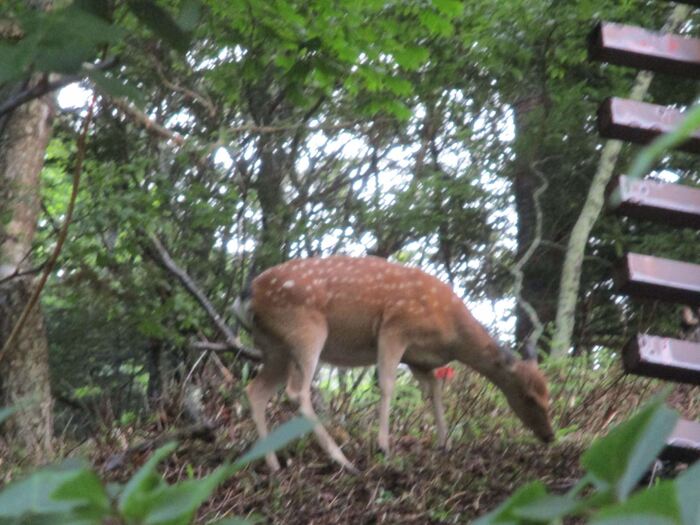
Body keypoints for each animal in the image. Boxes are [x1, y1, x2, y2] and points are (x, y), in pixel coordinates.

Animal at [234, 255, 554, 473]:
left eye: (548, 395)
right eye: (529, 397)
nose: (550, 436)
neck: (451, 334)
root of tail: (247, 296)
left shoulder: (419, 358)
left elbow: (434, 389)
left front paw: (444, 443)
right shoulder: (395, 328)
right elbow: (387, 385)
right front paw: (384, 446)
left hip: (274, 347)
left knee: (256, 390)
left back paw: (273, 463)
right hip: (306, 329)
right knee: (296, 392)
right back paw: (343, 461)